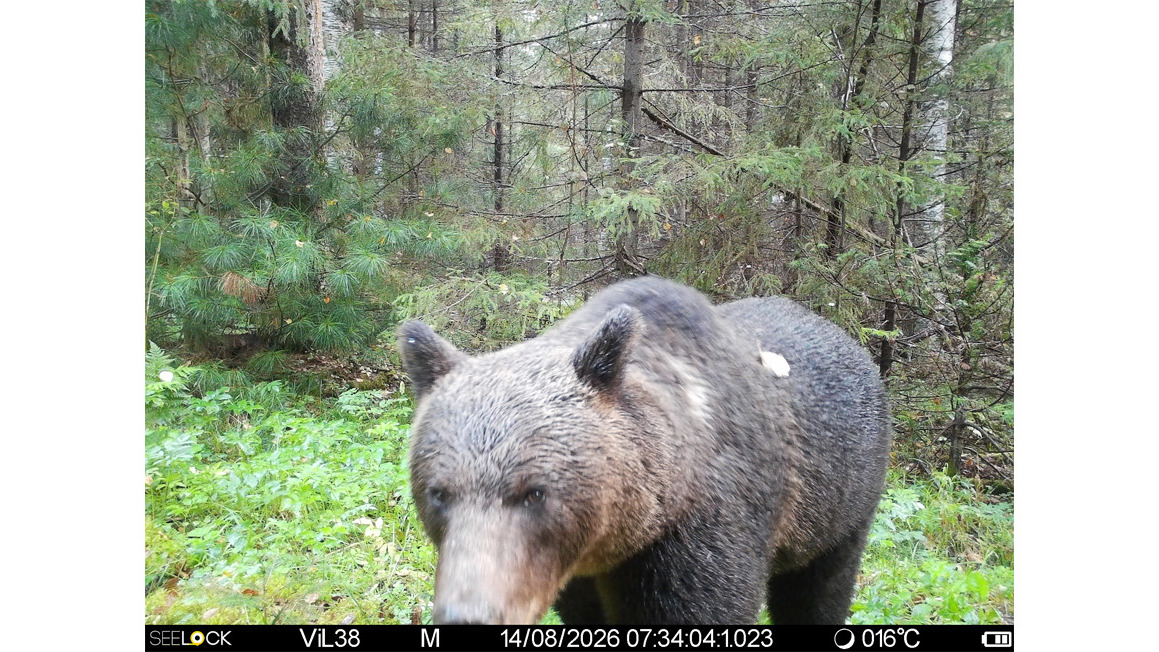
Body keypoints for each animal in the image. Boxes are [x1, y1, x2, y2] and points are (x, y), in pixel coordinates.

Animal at [397, 276, 891, 625]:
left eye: (534, 492)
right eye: (438, 493)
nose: (467, 616)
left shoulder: (703, 531)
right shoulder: (572, 571)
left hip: (841, 500)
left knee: (819, 591)